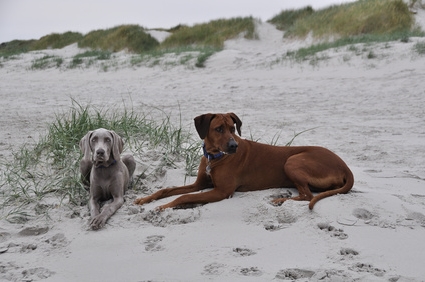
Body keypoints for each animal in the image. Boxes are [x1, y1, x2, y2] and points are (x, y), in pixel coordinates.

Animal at [134, 113, 352, 210]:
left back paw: (280, 200)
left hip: (292, 161)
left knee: (307, 196)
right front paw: (145, 199)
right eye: (219, 129)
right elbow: (167, 189)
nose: (233, 146)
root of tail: (345, 167)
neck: (215, 157)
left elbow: (184, 197)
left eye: (233, 128)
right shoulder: (200, 183)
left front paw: (164, 207)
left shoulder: (222, 192)